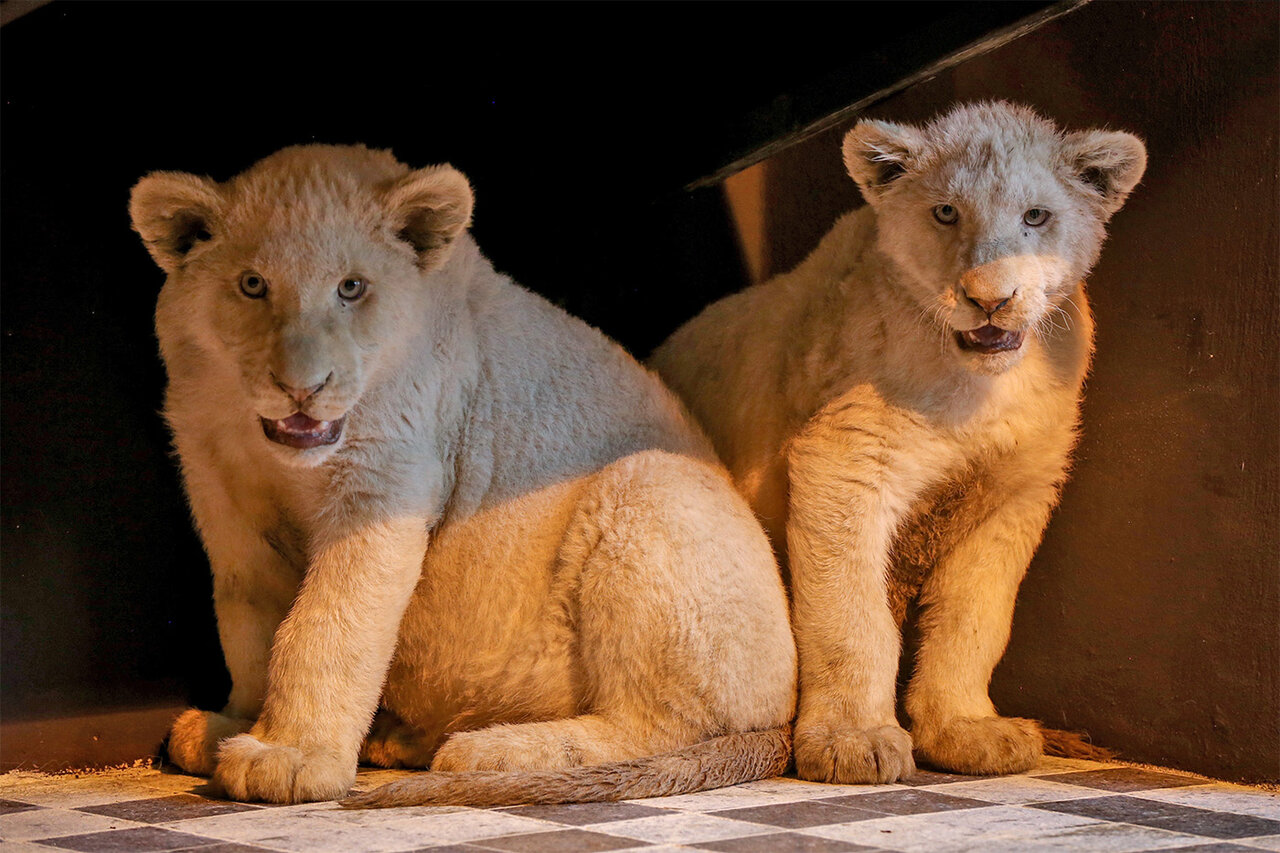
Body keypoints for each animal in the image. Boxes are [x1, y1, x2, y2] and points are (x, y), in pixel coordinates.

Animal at [129, 145, 796, 805]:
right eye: (252, 284)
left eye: (351, 287)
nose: (302, 388)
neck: (274, 454)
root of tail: (785, 715)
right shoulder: (221, 490)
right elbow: (248, 620)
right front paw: (234, 726)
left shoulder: (387, 475)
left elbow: (328, 621)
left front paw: (286, 759)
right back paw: (396, 739)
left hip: (653, 485)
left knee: (660, 723)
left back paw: (490, 750)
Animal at [650, 102, 1146, 783]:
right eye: (946, 213)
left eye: (1035, 216)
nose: (990, 299)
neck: (978, 388)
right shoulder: (843, 461)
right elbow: (851, 617)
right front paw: (852, 742)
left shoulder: (1014, 492)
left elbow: (975, 619)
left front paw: (967, 731)